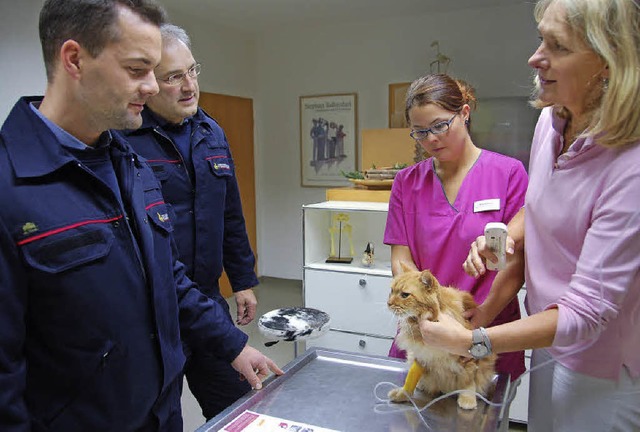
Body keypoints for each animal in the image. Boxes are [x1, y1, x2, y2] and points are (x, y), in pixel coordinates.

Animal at [384, 264, 496, 408]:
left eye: (404, 295)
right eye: (391, 291)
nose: (388, 303)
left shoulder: (468, 358)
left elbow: (468, 381)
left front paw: (467, 399)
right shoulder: (422, 354)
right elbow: (411, 377)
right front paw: (403, 394)